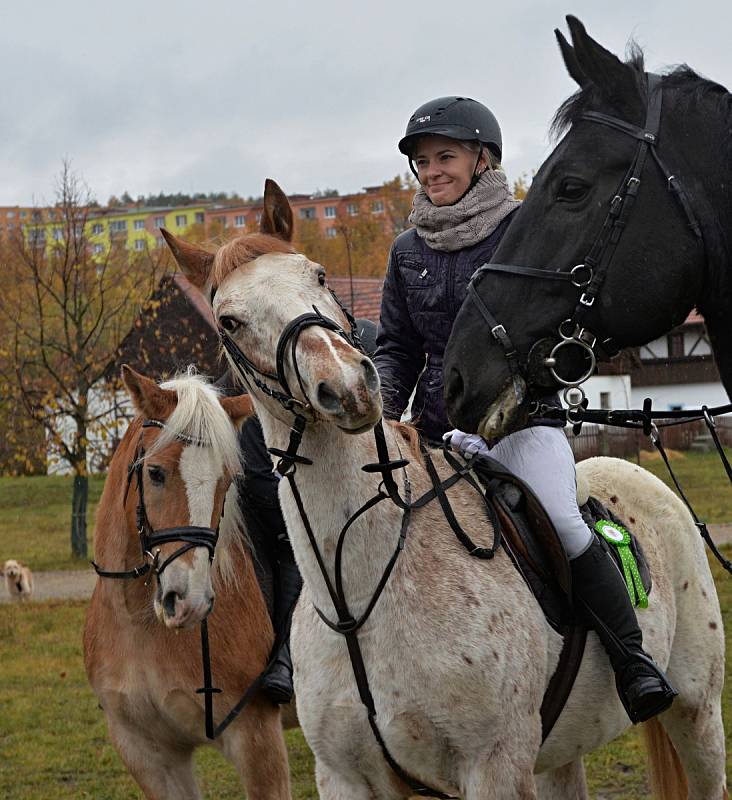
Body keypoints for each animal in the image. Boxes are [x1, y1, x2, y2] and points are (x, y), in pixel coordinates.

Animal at [83, 366, 292, 796]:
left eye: (226, 480)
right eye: (155, 473)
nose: (189, 601)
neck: (138, 624)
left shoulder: (257, 740)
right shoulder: (147, 753)